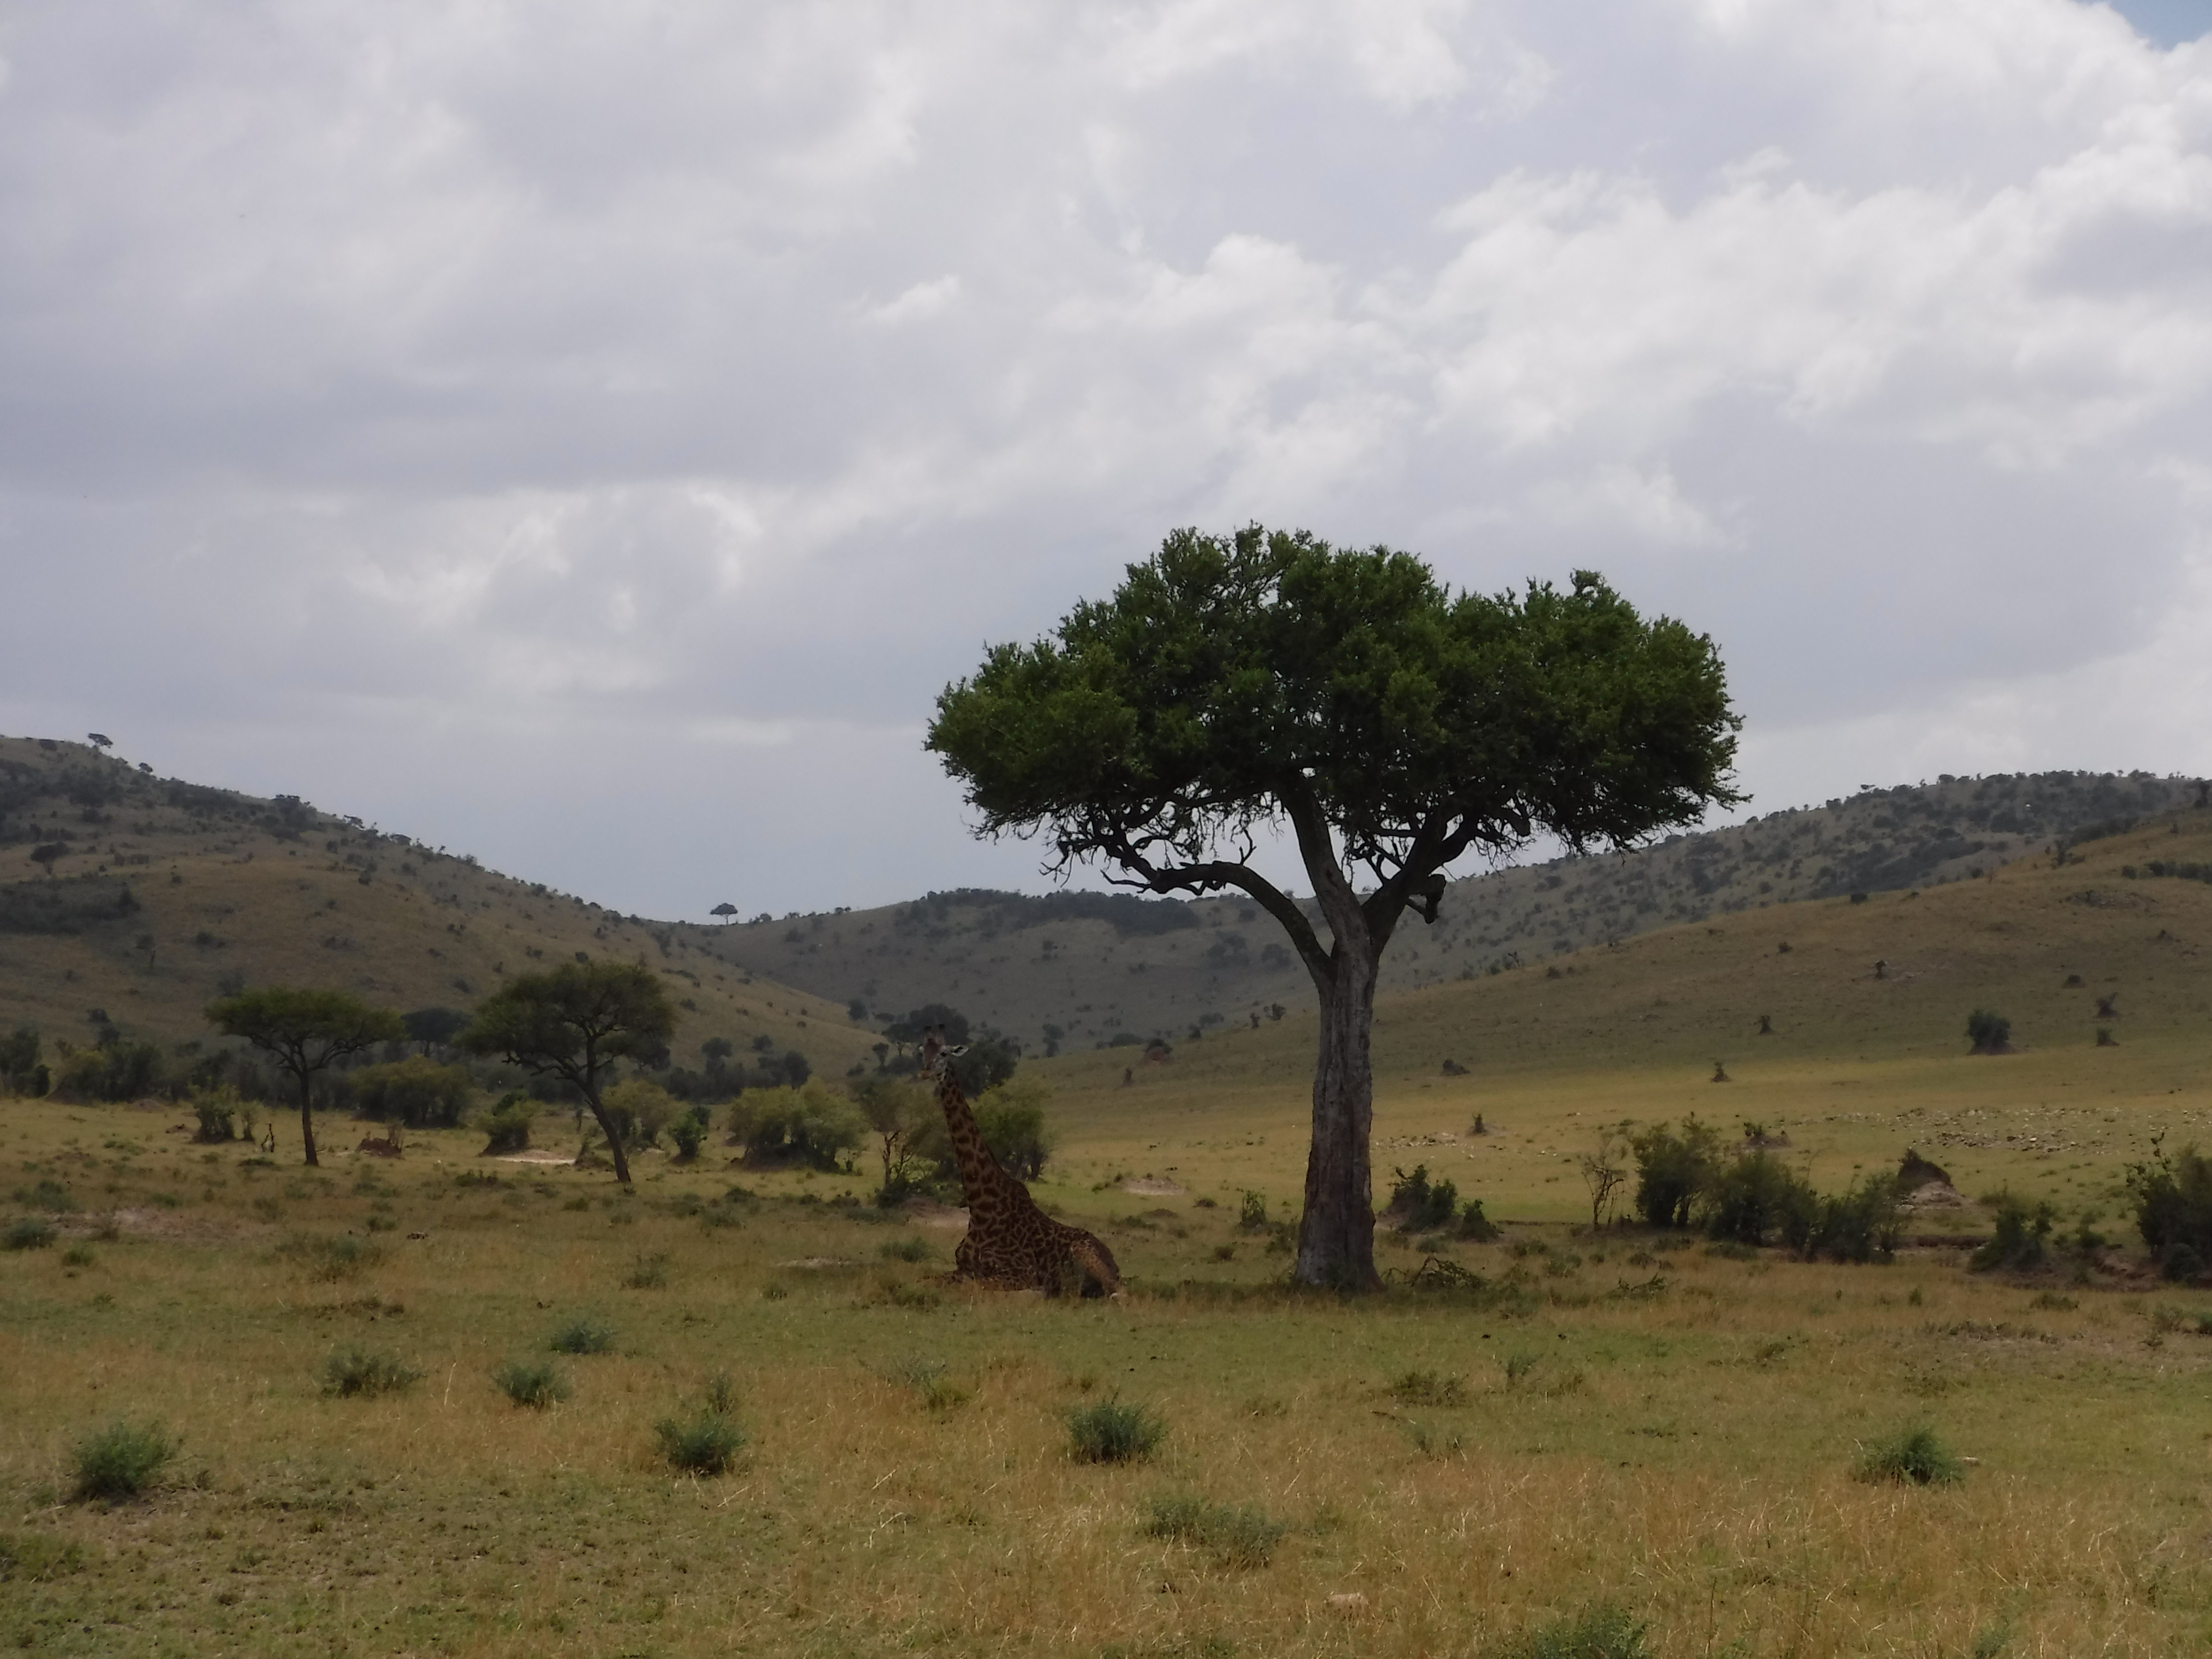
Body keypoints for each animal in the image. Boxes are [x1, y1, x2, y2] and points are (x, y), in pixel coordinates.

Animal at [918, 1030, 1121, 1298]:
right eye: (922, 1052)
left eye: (944, 1053)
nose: (926, 1072)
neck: (981, 1208)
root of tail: (1115, 1262)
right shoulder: (962, 1268)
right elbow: (928, 1279)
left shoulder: (1022, 1271)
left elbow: (977, 1287)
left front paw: (1033, 1293)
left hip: (1086, 1256)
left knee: (1118, 1294)